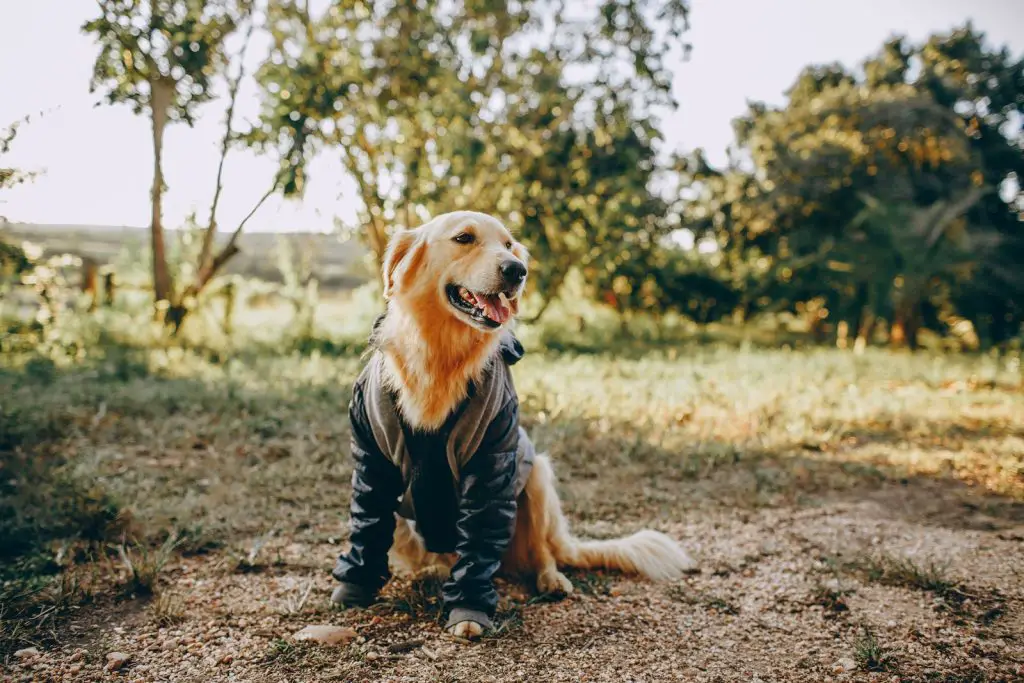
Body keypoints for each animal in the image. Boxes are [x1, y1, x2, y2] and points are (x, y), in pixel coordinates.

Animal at [331, 210, 692, 638]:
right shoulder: (373, 461)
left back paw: (550, 579)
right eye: (464, 238)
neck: (441, 354)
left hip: (536, 474)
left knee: (541, 552)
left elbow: (478, 544)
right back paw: (430, 573)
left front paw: (468, 610)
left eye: (508, 245)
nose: (517, 270)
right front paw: (354, 586)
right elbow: (367, 528)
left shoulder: (494, 457)